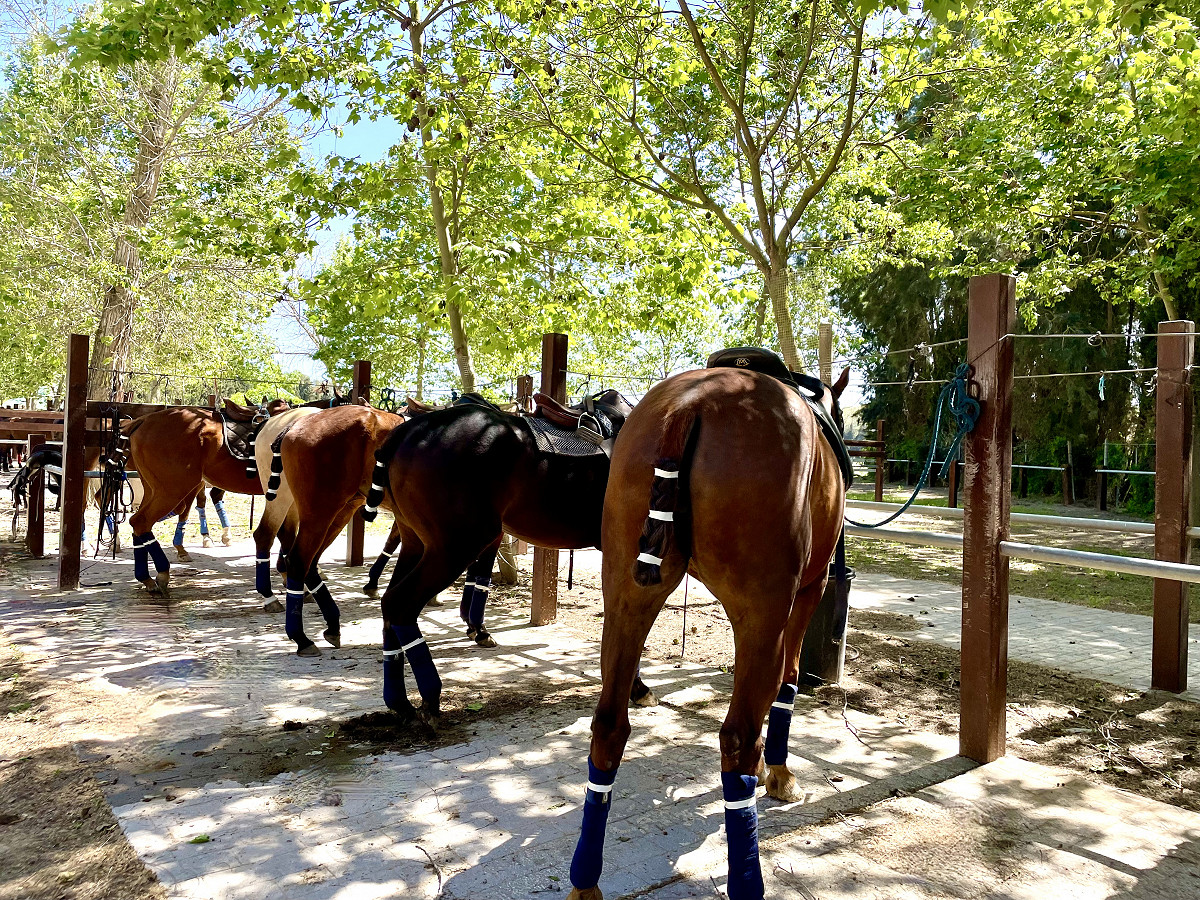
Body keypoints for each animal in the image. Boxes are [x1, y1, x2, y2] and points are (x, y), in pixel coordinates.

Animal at [370, 389, 659, 722]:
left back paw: (400, 701)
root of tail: (406, 431)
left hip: (417, 543)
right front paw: (636, 688)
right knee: (400, 604)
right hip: (455, 547)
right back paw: (429, 696)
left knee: (389, 604)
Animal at [562, 354, 849, 900]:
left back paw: (585, 881)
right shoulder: (808, 591)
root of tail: (690, 405)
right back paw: (747, 878)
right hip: (762, 612)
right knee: (738, 738)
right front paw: (778, 773)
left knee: (608, 726)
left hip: (627, 597)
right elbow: (788, 683)